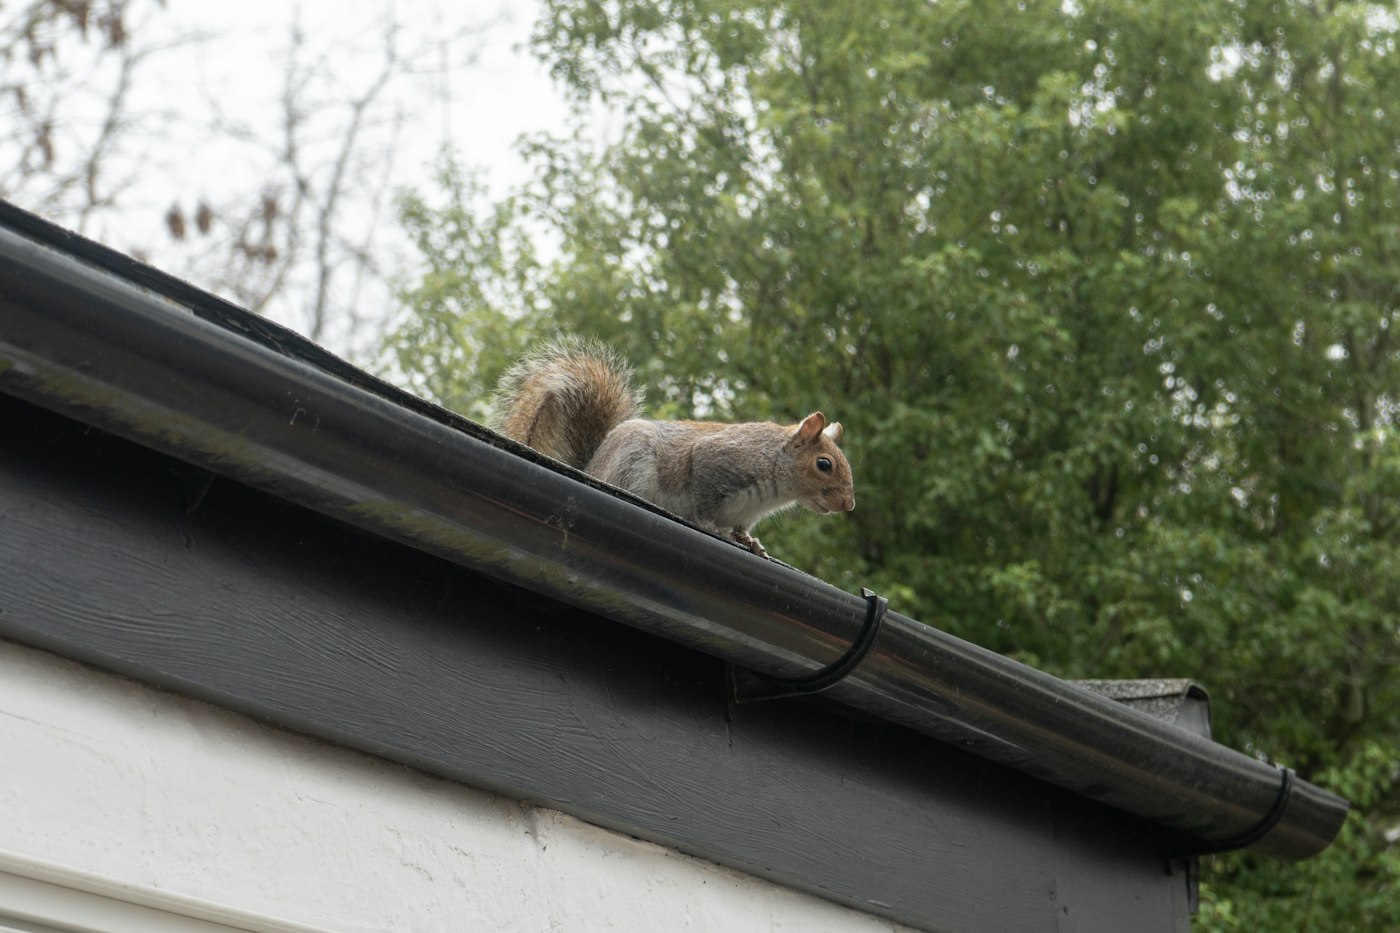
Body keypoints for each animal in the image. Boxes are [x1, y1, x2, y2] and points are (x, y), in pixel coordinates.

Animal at [490, 338, 855, 558]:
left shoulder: (746, 512)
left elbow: (742, 529)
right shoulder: (720, 460)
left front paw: (751, 542)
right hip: (633, 462)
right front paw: (712, 526)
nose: (848, 505)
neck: (775, 487)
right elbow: (705, 503)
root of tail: (591, 466)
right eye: (824, 464)